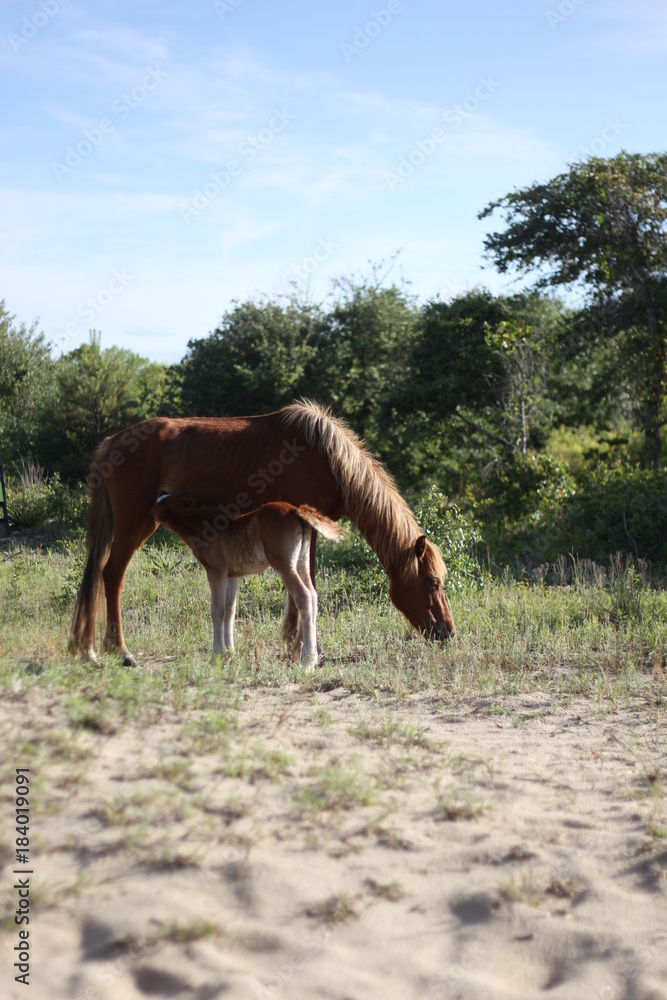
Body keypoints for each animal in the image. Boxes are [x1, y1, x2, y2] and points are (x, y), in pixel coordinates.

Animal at [151, 494, 344, 667]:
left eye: (159, 504)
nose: (150, 518)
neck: (205, 527)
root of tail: (296, 510)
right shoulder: (233, 576)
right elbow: (230, 610)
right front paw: (229, 653)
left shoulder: (216, 571)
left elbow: (217, 610)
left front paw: (216, 656)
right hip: (302, 562)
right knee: (313, 595)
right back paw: (305, 653)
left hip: (284, 565)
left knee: (303, 596)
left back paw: (307, 661)